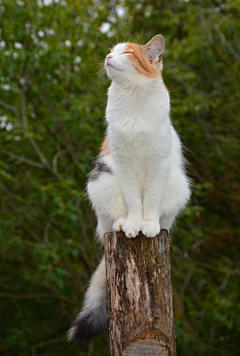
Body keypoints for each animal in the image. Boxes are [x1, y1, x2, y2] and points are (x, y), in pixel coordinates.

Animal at [68, 34, 190, 340]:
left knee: (163, 219)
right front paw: (135, 224)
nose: (109, 58)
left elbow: (150, 202)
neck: (133, 98)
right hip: (103, 181)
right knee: (114, 219)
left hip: (177, 185)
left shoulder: (158, 164)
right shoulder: (123, 164)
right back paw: (124, 225)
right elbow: (135, 201)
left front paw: (148, 225)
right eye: (111, 51)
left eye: (126, 53)